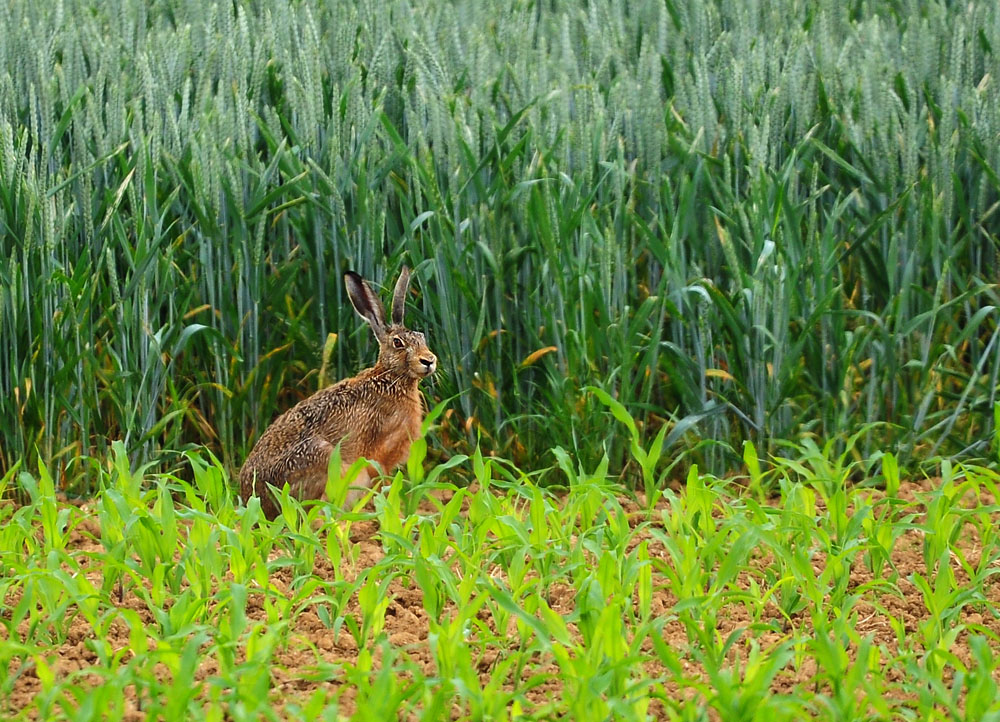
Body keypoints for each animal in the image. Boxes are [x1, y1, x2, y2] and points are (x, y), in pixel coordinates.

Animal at [239, 266, 437, 519]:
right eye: (398, 343)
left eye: (421, 337)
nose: (429, 360)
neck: (390, 378)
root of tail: (253, 502)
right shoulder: (381, 454)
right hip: (323, 458)